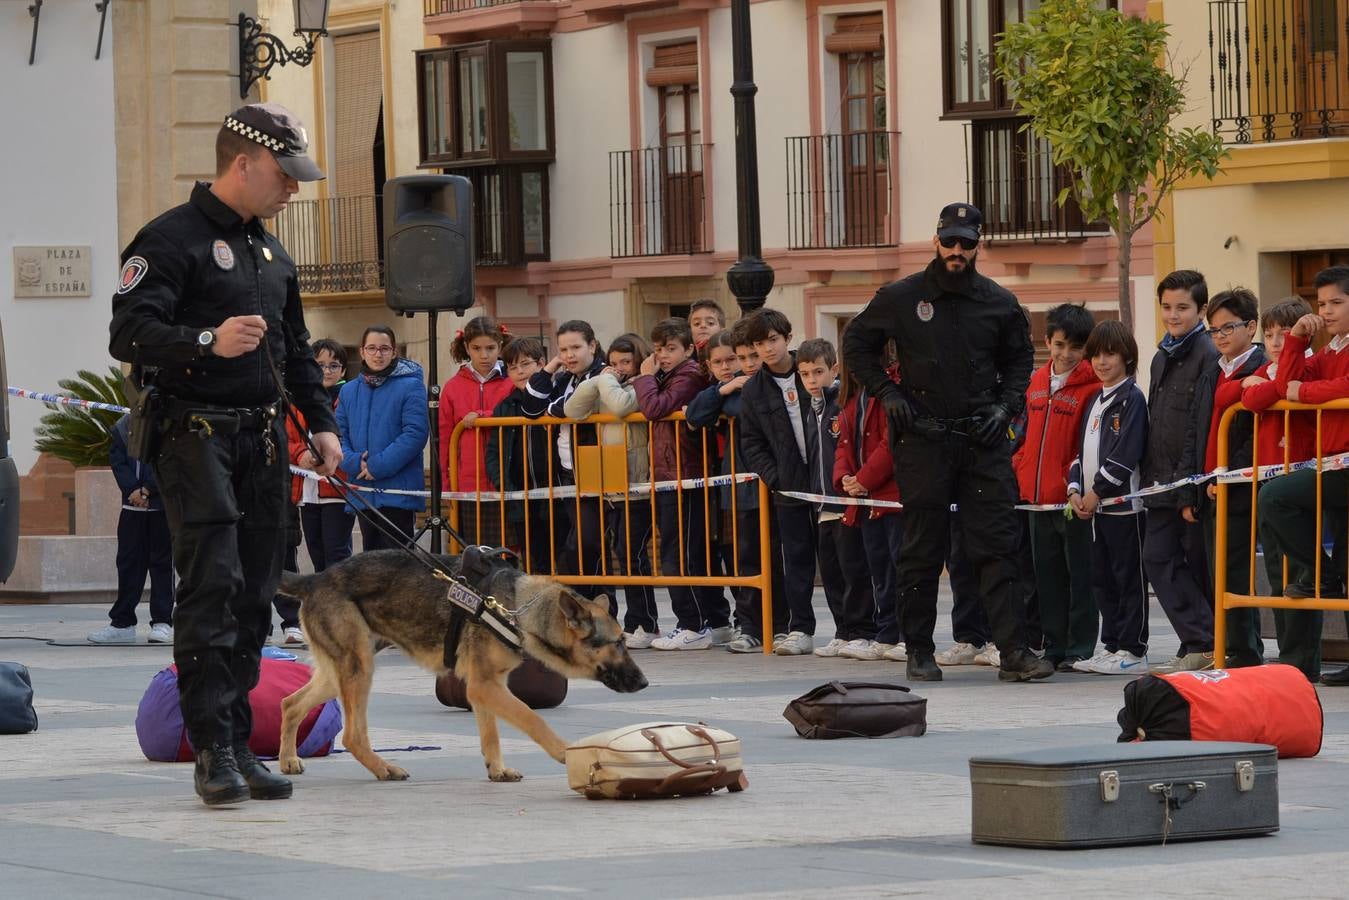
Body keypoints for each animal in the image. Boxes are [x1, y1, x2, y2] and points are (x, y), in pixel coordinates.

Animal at [272, 545, 647, 782]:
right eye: (617, 643)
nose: (644, 683)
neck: (517, 610)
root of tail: (315, 578)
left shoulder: (485, 687)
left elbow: (490, 733)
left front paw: (497, 769)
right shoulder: (485, 686)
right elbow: (532, 719)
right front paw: (563, 751)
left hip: (343, 670)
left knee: (291, 704)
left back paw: (288, 760)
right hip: (358, 669)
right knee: (352, 735)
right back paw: (384, 769)